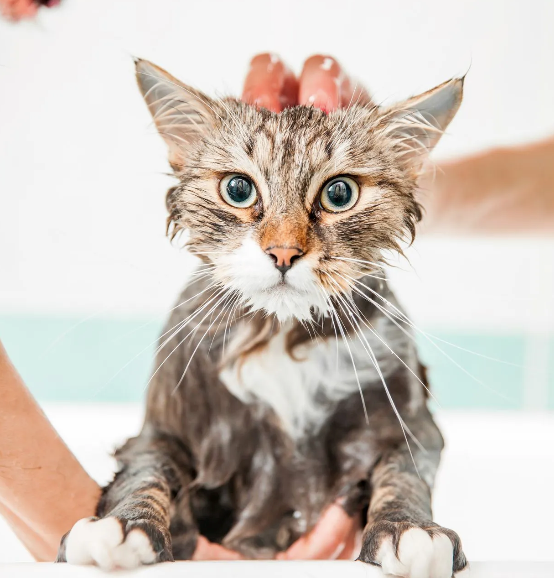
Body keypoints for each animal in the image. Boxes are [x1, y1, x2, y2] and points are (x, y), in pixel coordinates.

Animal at [56, 59, 466, 576]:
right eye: (238, 189)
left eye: (339, 193)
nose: (284, 252)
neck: (281, 336)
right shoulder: (163, 429)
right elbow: (146, 474)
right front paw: (123, 526)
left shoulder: (409, 424)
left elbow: (403, 477)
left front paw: (409, 529)